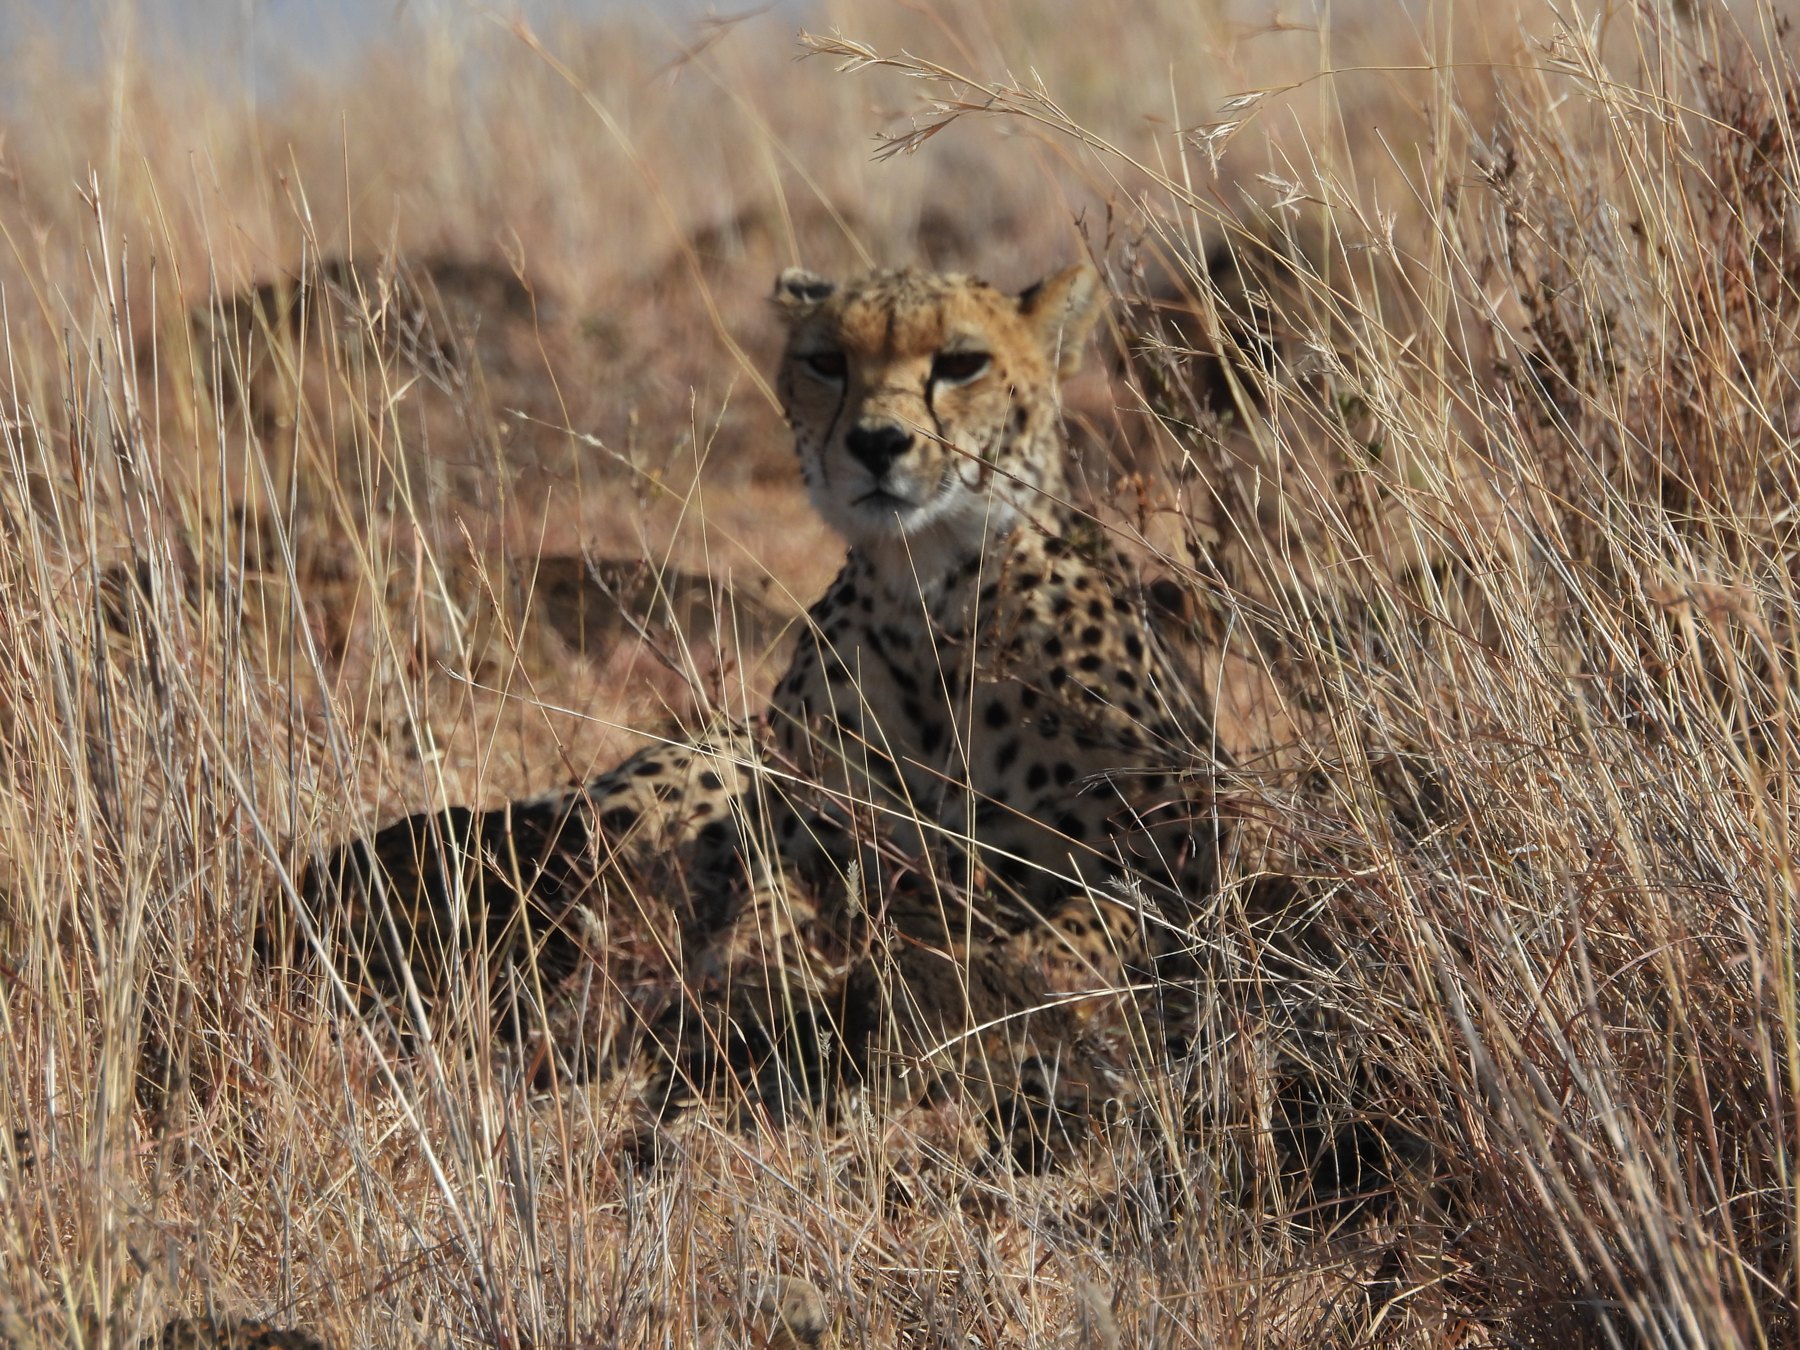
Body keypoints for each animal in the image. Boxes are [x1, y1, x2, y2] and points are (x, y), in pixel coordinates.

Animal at [300, 261, 1226, 1157]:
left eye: (962, 362)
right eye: (828, 362)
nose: (876, 443)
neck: (930, 594)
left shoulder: (1181, 870)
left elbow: (1078, 933)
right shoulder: (801, 836)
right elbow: (767, 913)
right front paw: (788, 988)